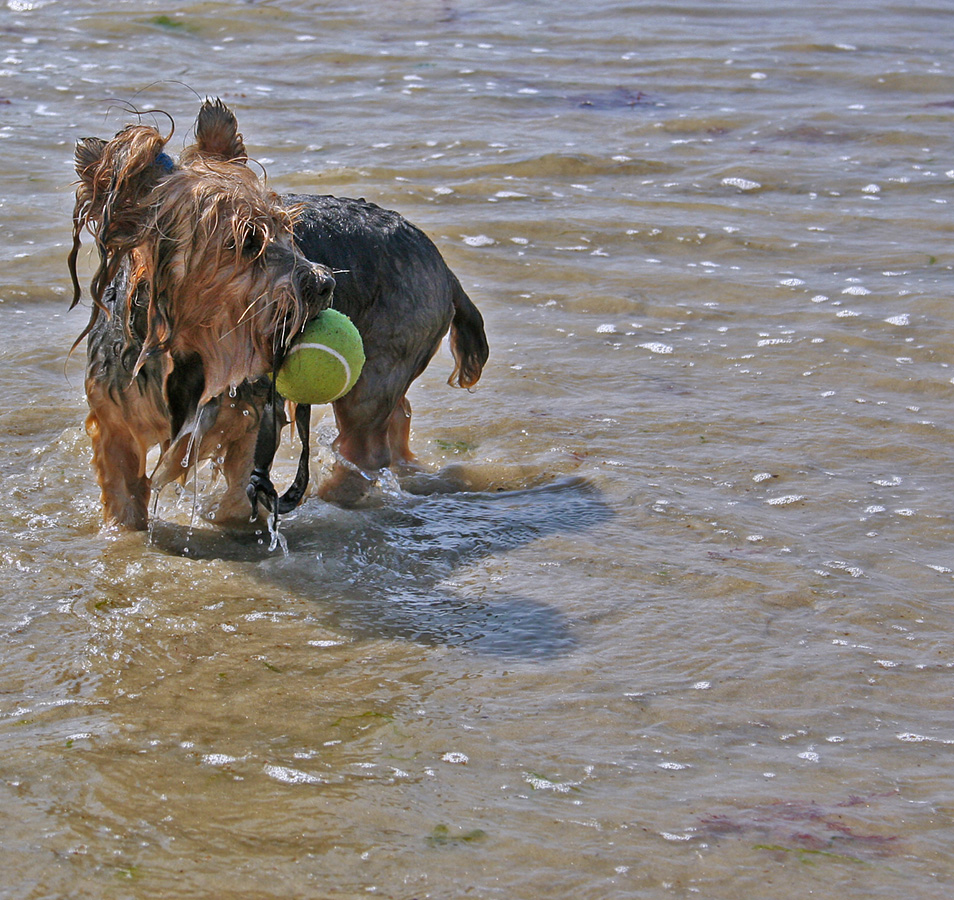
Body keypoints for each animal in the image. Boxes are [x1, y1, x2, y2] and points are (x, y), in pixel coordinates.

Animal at [69, 100, 488, 536]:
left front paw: (236, 514)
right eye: (246, 240)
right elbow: (124, 501)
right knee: (396, 422)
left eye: (287, 227)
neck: (189, 348)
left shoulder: (250, 419)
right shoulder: (115, 421)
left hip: (376, 371)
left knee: (367, 448)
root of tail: (444, 267)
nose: (325, 284)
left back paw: (328, 499)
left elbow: (239, 492)